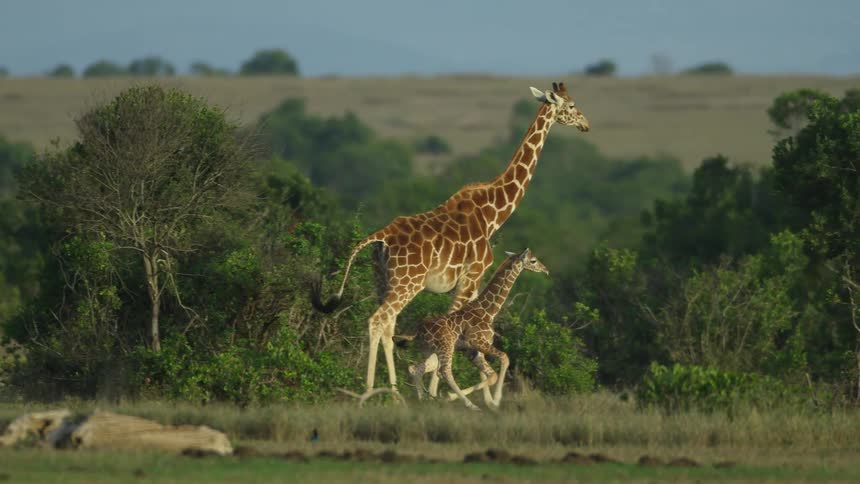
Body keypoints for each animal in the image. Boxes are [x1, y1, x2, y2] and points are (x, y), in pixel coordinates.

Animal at [400, 248, 549, 410]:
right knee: (444, 371)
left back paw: (423, 401)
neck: (488, 311)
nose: (545, 270)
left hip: (430, 350)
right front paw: (495, 401)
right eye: (533, 260)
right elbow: (505, 358)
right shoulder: (477, 341)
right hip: (446, 346)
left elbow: (492, 375)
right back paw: (469, 405)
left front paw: (490, 402)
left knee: (415, 368)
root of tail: (417, 331)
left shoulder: (472, 350)